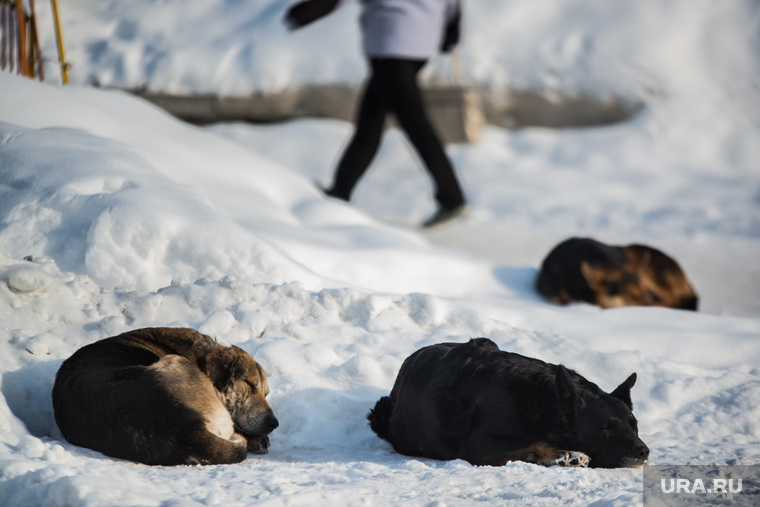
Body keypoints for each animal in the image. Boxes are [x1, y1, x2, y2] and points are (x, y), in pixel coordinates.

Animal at [52, 328, 280, 466]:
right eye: (250, 385)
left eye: (266, 393)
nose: (274, 423)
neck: (200, 357)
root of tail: (188, 429)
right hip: (175, 361)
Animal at [366, 340, 648, 470]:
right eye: (606, 428)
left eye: (634, 426)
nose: (643, 451)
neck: (543, 400)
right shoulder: (478, 443)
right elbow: (531, 440)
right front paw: (567, 453)